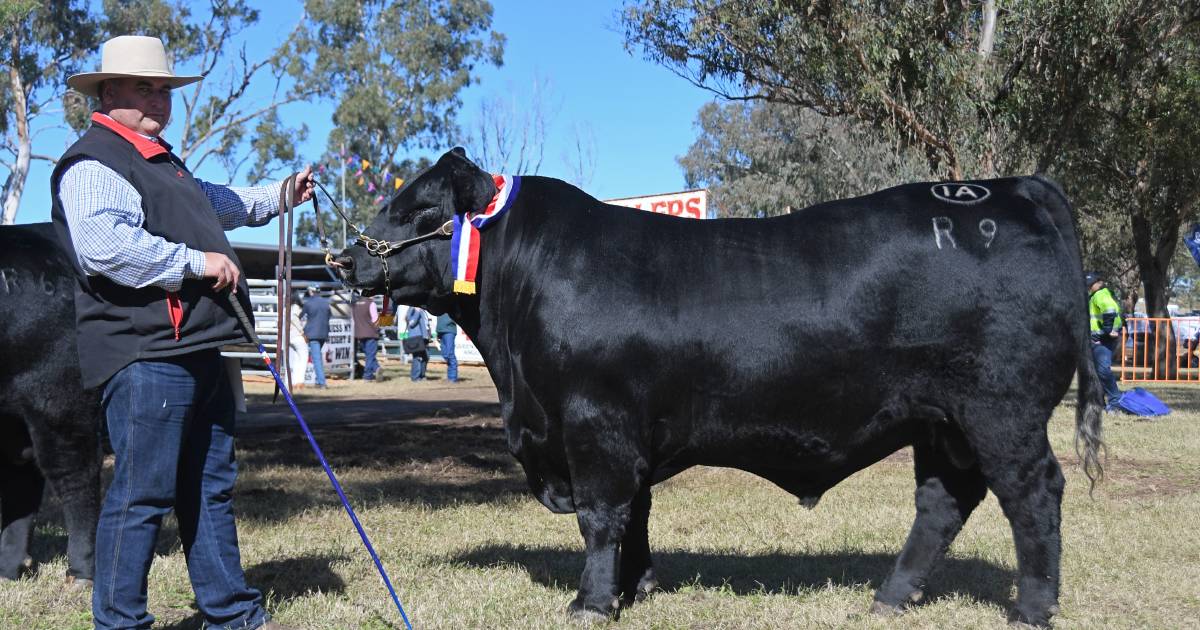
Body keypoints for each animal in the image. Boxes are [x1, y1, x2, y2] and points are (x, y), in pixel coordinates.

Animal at [0, 222, 101, 585]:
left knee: (75, 474)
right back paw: (8, 569)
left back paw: (82, 571)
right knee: (22, 483)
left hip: (59, 399)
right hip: (16, 418)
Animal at [333, 147, 1099, 624]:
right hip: (941, 422)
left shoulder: (594, 424)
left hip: (1000, 412)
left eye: (422, 210)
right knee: (943, 502)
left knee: (1033, 496)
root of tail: (1009, 187)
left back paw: (1032, 610)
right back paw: (890, 597)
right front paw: (635, 589)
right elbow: (637, 514)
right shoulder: (625, 434)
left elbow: (601, 517)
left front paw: (591, 603)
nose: (343, 260)